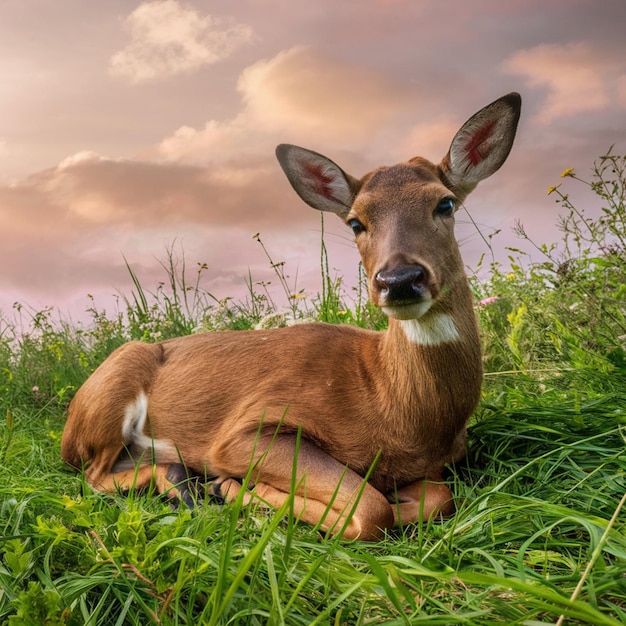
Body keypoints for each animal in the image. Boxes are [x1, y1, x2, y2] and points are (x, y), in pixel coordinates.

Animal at [62, 94, 520, 540]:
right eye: (355, 222)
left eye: (445, 203)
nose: (400, 279)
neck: (397, 411)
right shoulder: (247, 429)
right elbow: (371, 510)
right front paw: (236, 487)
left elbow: (438, 498)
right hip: (113, 386)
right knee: (93, 475)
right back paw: (189, 483)